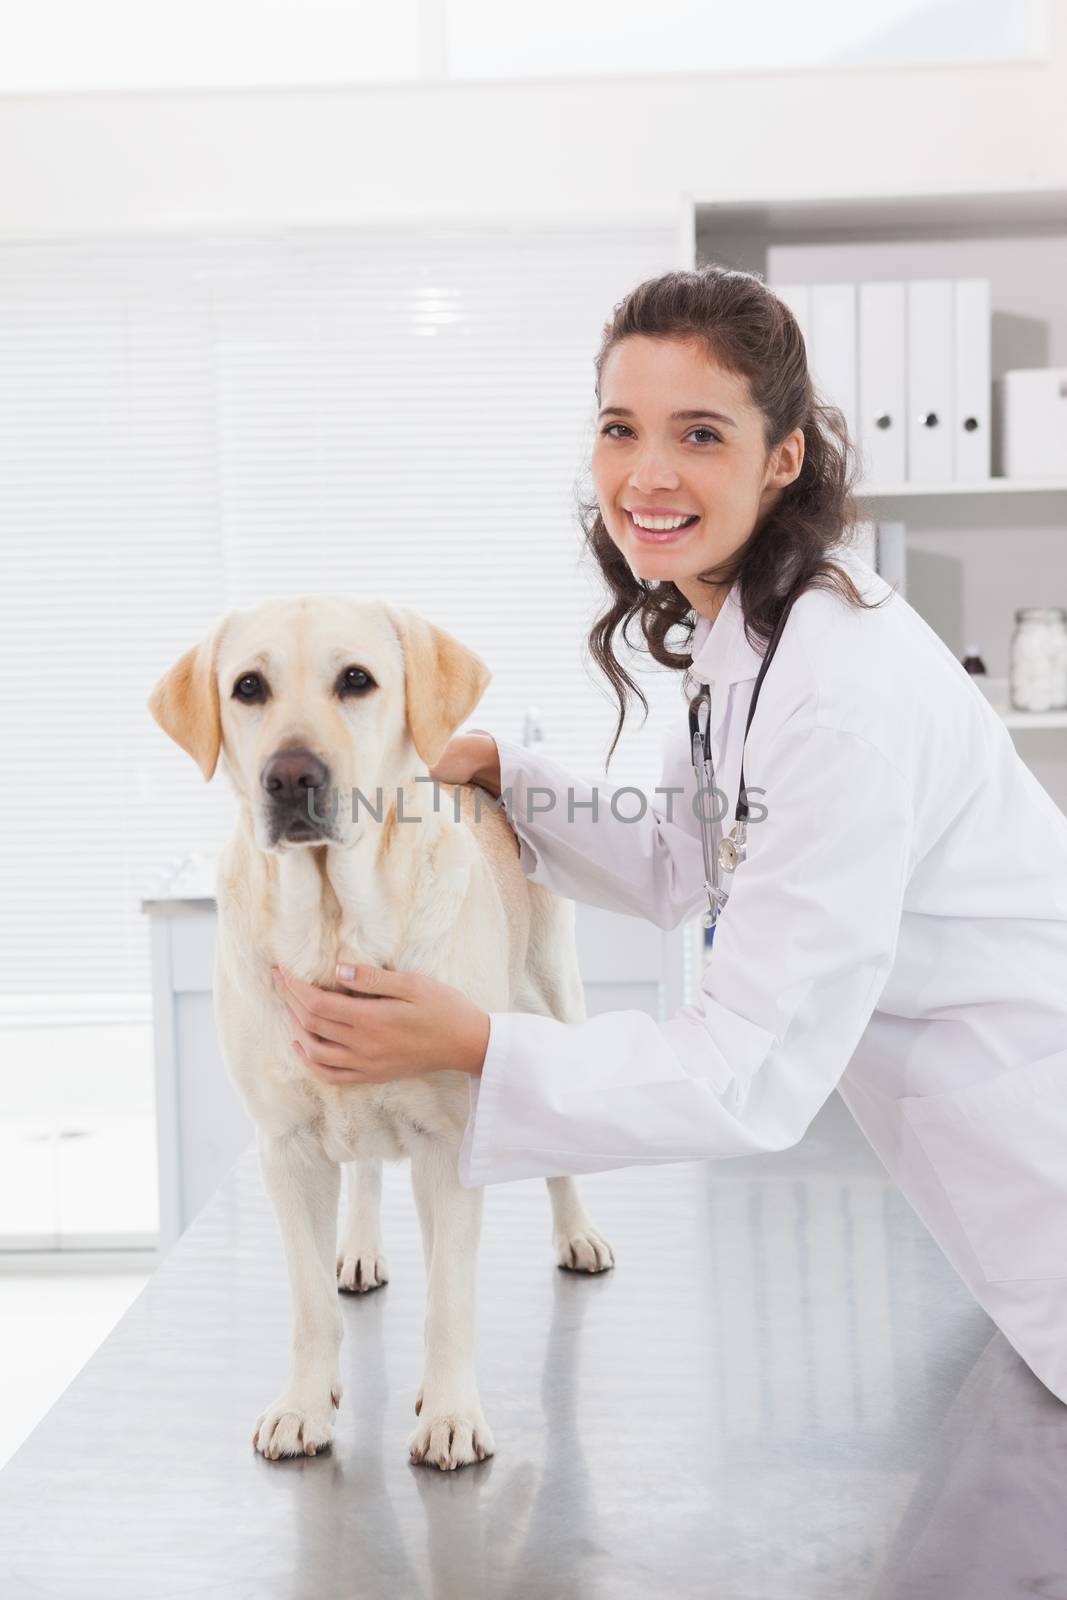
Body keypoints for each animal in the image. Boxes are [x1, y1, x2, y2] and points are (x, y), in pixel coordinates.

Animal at [150, 595, 617, 1465]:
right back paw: (360, 1247)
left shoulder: (450, 1140)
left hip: (551, 1006)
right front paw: (304, 1405)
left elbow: (449, 1299)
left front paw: (451, 1413)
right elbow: (308, 1305)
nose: (290, 776)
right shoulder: (287, 1150)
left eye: (356, 680)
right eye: (248, 686)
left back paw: (577, 1237)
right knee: (365, 1173)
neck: (335, 925)